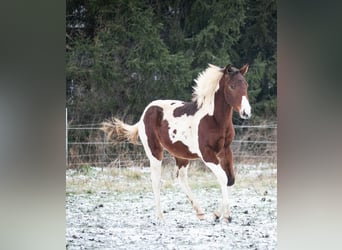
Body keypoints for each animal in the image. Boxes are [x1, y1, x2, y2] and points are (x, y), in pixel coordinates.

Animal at [101, 63, 251, 222]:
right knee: (156, 180)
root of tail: (144, 114)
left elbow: (230, 179)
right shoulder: (206, 154)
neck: (213, 119)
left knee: (180, 177)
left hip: (182, 155)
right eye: (232, 86)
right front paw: (225, 215)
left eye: (246, 85)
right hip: (154, 152)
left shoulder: (226, 150)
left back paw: (199, 212)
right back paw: (160, 216)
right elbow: (223, 177)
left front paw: (217, 213)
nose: (246, 112)